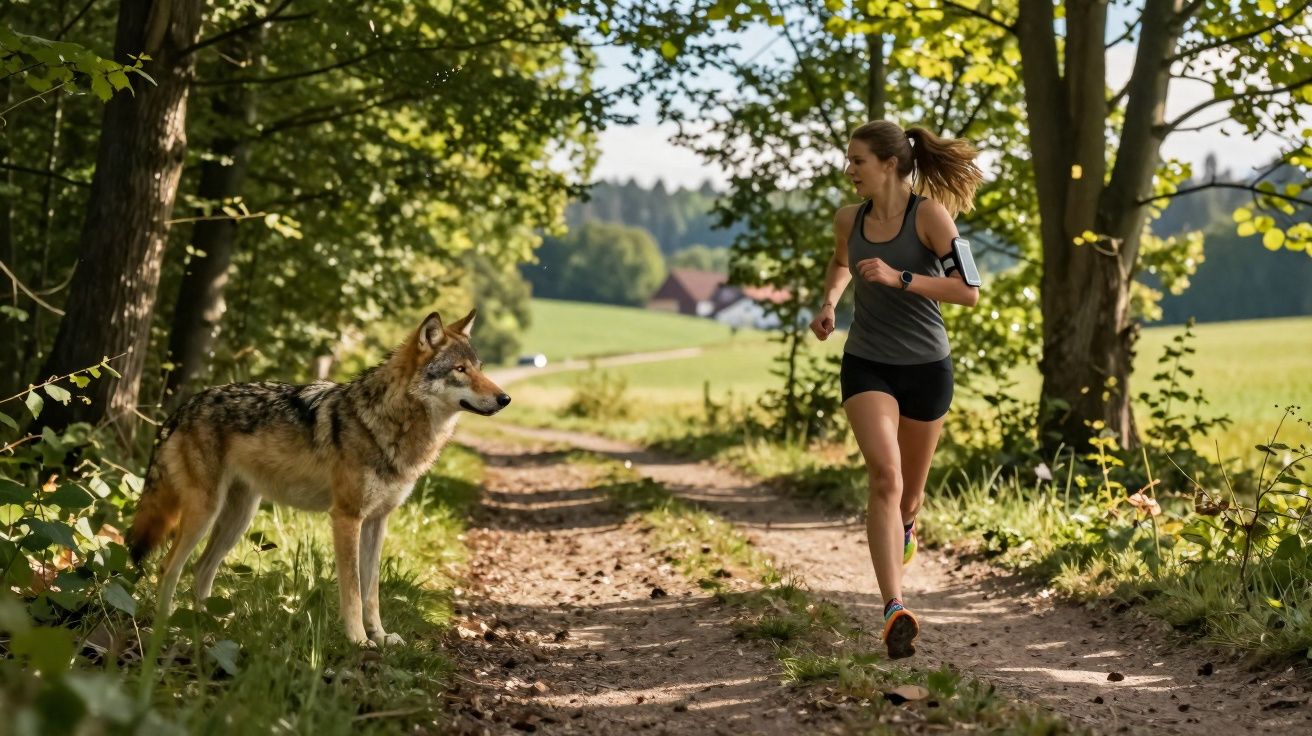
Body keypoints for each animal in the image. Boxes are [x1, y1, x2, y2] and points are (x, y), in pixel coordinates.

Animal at [127, 309, 508, 647]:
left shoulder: (377, 521)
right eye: (460, 370)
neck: (389, 422)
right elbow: (352, 589)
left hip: (236, 519)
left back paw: (207, 628)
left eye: (480, 369)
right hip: (204, 514)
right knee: (168, 567)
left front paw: (381, 637)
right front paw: (358, 640)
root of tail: (183, 406)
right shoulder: (346, 518)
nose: (505, 398)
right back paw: (167, 628)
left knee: (201, 570)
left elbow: (372, 591)